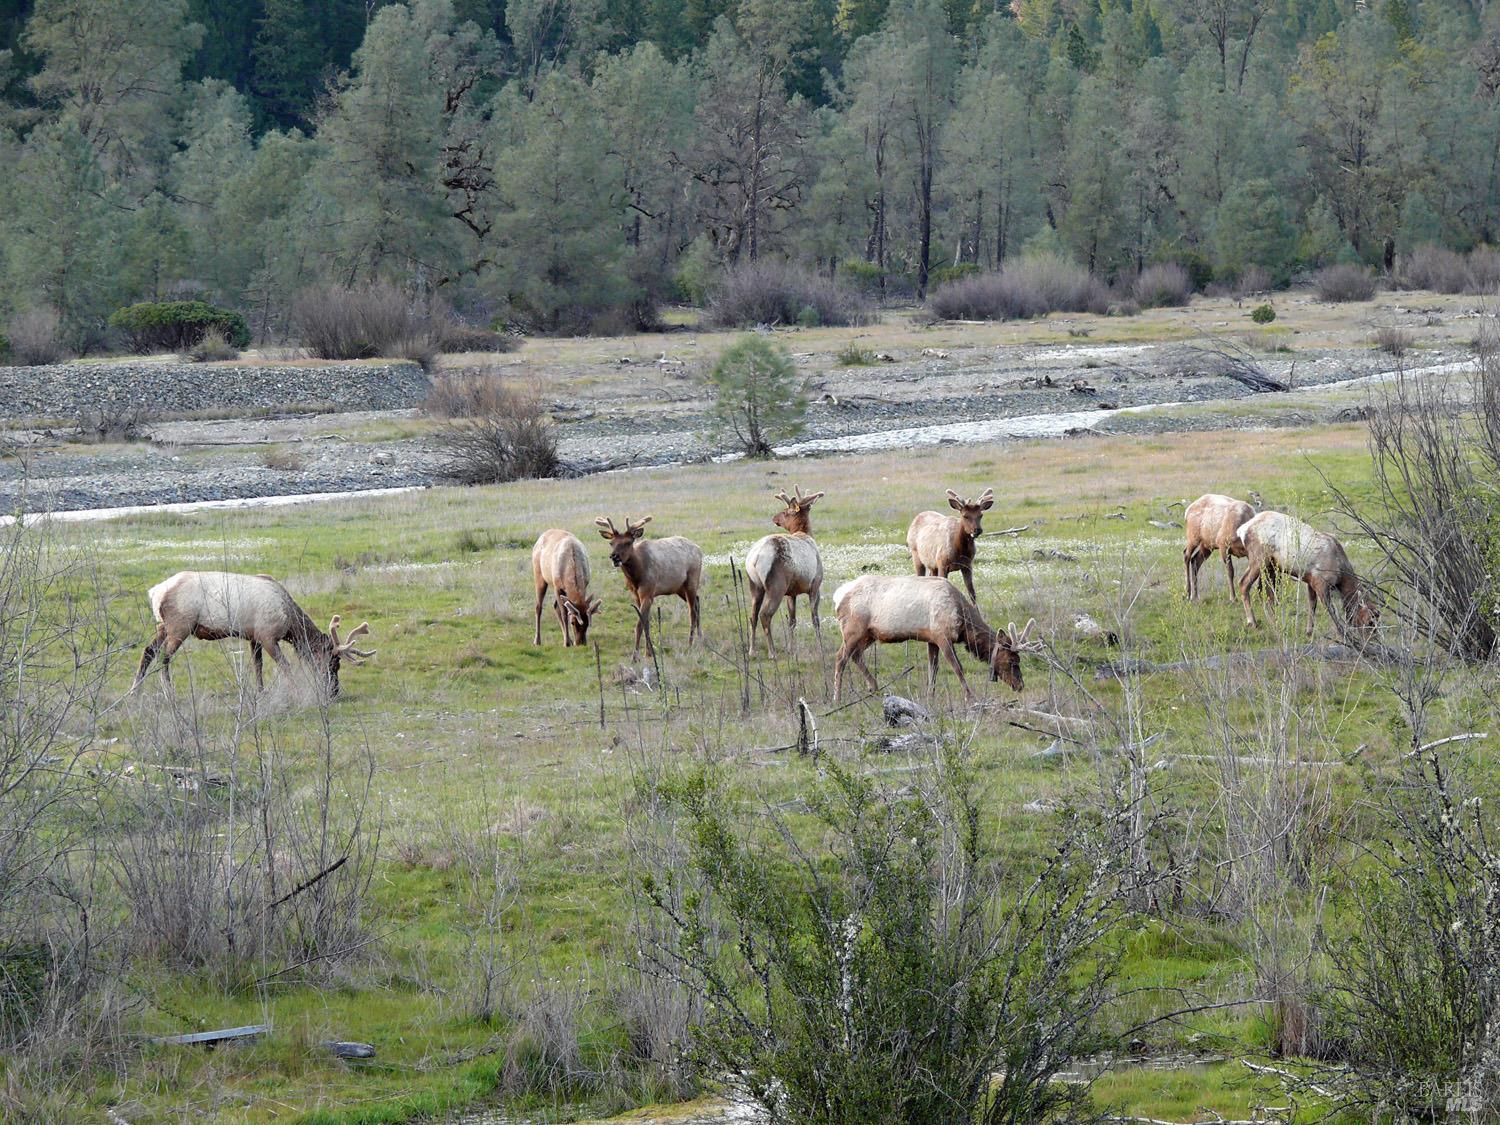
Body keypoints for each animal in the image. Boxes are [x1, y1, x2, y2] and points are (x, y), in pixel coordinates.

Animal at [135, 573, 375, 696]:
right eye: (333, 663)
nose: (334, 691)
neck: (290, 623)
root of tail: (155, 592)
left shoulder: (254, 637)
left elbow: (257, 665)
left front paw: (261, 692)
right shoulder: (268, 635)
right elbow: (285, 666)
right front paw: (294, 692)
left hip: (163, 626)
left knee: (148, 651)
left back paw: (135, 691)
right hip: (180, 626)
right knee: (164, 656)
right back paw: (169, 692)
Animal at [591, 513, 702, 657]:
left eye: (628, 542)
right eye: (611, 543)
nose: (614, 557)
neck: (636, 577)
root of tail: (699, 549)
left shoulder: (648, 592)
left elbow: (639, 624)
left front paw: (636, 656)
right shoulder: (636, 595)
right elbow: (646, 622)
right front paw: (649, 652)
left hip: (692, 579)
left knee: (692, 611)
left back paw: (690, 644)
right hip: (678, 587)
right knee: (698, 602)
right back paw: (701, 638)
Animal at [744, 486, 828, 660]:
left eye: (784, 511)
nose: (774, 517)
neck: (805, 534)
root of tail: (754, 558)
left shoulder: (792, 592)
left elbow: (792, 620)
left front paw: (791, 649)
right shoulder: (815, 585)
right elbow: (815, 619)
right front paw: (820, 647)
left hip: (755, 585)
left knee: (752, 616)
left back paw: (752, 651)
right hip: (776, 585)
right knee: (765, 615)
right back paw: (772, 652)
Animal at [828, 576, 1038, 702]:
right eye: (1012, 661)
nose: (1020, 685)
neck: (963, 623)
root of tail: (837, 596)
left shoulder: (931, 638)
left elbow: (933, 668)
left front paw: (930, 696)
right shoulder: (942, 635)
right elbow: (957, 668)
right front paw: (970, 697)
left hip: (868, 634)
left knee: (855, 655)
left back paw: (874, 686)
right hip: (853, 629)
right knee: (840, 658)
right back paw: (837, 697)